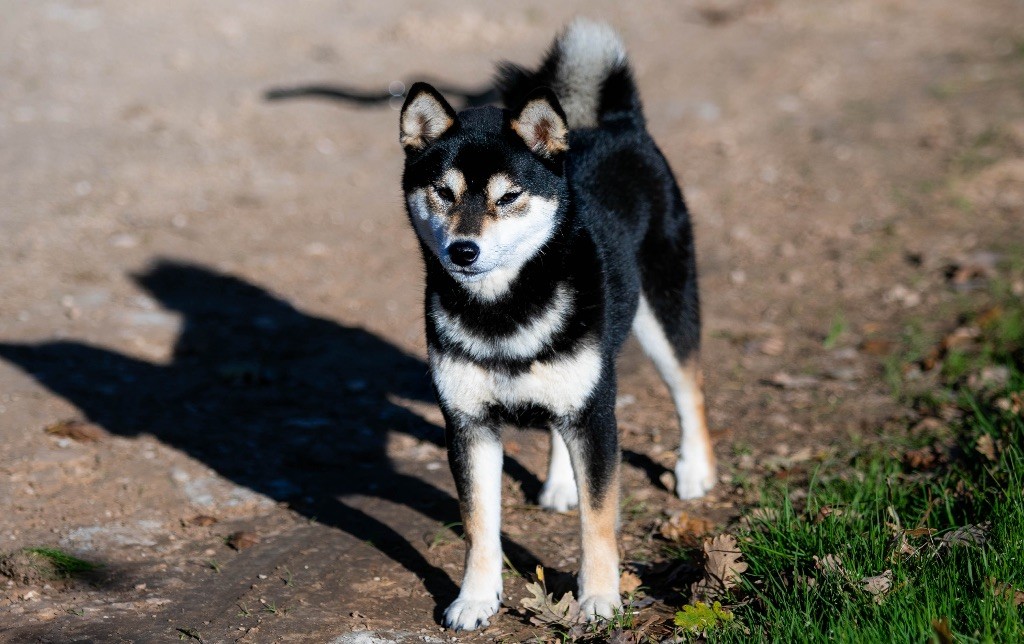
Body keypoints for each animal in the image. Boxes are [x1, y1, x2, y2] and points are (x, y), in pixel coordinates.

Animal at [395, 18, 716, 626]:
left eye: (508, 197)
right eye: (443, 192)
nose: (463, 251)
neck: (503, 311)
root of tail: (619, 125)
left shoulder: (596, 417)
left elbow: (598, 520)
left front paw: (599, 598)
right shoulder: (469, 425)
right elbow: (479, 525)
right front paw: (475, 598)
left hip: (663, 313)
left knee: (689, 389)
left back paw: (695, 470)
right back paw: (560, 482)